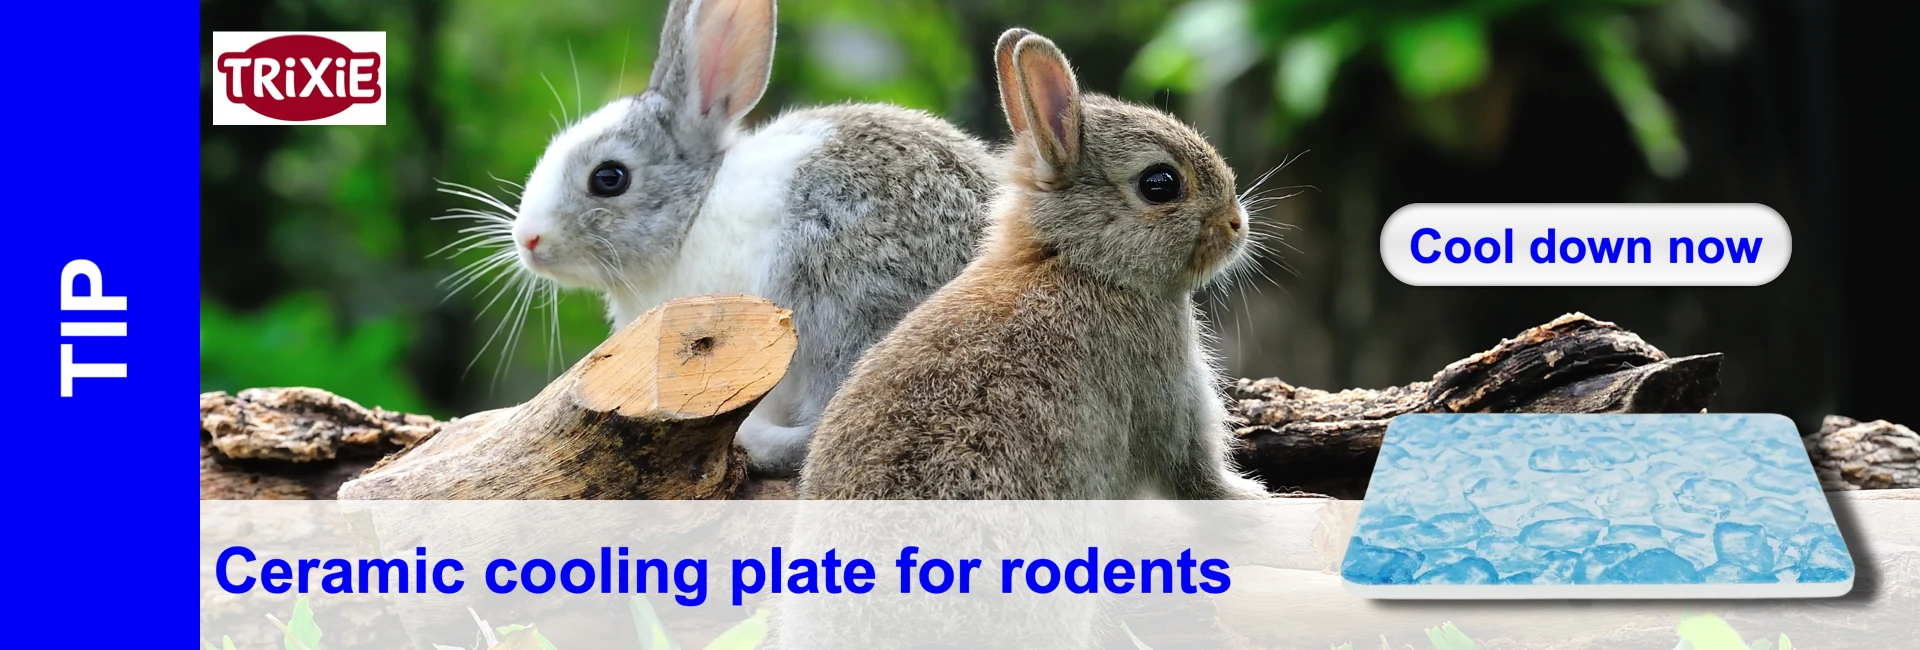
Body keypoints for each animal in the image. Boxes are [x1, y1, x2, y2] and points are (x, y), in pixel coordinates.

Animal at [798, 28, 1273, 501]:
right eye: (1160, 184)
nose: (1237, 223)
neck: (1080, 263)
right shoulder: (1170, 398)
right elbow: (1196, 475)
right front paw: (1251, 499)